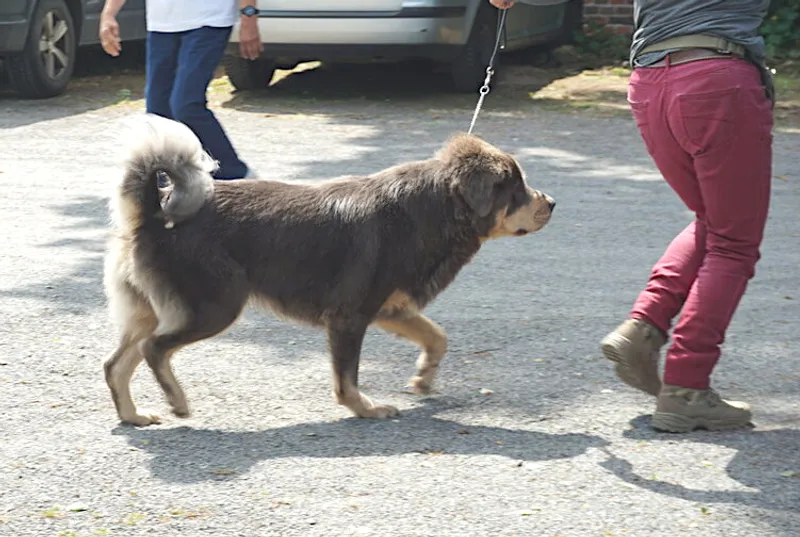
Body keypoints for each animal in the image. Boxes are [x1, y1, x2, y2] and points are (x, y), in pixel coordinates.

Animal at [103, 114, 555, 426]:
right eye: (516, 188)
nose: (551, 202)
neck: (433, 211)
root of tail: (155, 210)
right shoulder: (349, 318)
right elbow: (347, 379)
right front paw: (366, 409)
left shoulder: (391, 309)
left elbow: (437, 337)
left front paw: (424, 379)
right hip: (214, 307)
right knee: (154, 350)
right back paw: (176, 401)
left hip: (155, 311)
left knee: (115, 365)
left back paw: (133, 416)